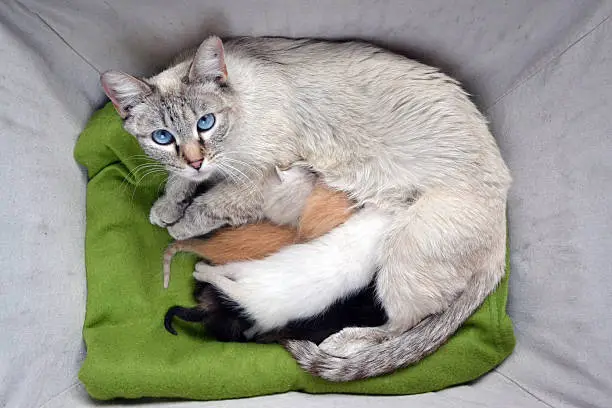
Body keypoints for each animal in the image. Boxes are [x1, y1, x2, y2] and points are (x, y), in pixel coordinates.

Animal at [101, 35, 512, 382]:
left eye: (206, 122)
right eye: (162, 137)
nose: (195, 158)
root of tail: (502, 241)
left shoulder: (255, 180)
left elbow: (207, 206)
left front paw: (179, 223)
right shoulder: (204, 169)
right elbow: (179, 181)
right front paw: (166, 206)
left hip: (403, 257)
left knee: (400, 326)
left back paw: (341, 343)